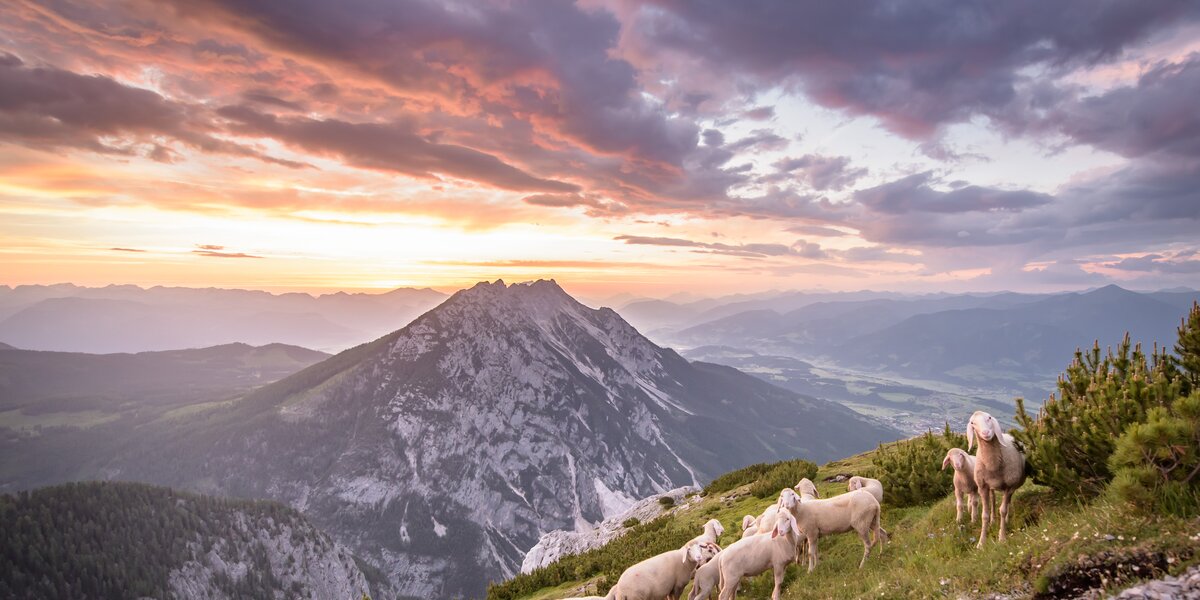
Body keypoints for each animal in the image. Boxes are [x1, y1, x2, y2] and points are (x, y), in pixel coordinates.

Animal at [967, 410, 1027, 548]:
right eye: (972, 423)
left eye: (989, 418)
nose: (986, 433)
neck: (992, 464)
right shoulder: (982, 487)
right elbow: (984, 515)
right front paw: (981, 543)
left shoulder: (1009, 486)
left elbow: (1003, 510)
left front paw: (1002, 537)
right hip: (991, 487)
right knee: (993, 500)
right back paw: (993, 520)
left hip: (1012, 486)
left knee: (1007, 502)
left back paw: (1006, 520)